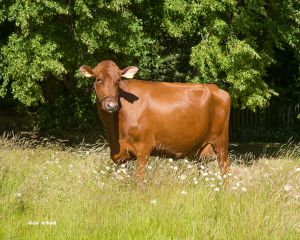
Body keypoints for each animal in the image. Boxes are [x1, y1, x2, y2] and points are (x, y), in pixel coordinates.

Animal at [78, 60, 231, 180]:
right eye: (98, 79)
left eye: (118, 81)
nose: (111, 105)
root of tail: (216, 88)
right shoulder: (121, 155)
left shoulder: (144, 148)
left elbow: (138, 180)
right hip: (201, 149)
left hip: (221, 142)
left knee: (225, 167)